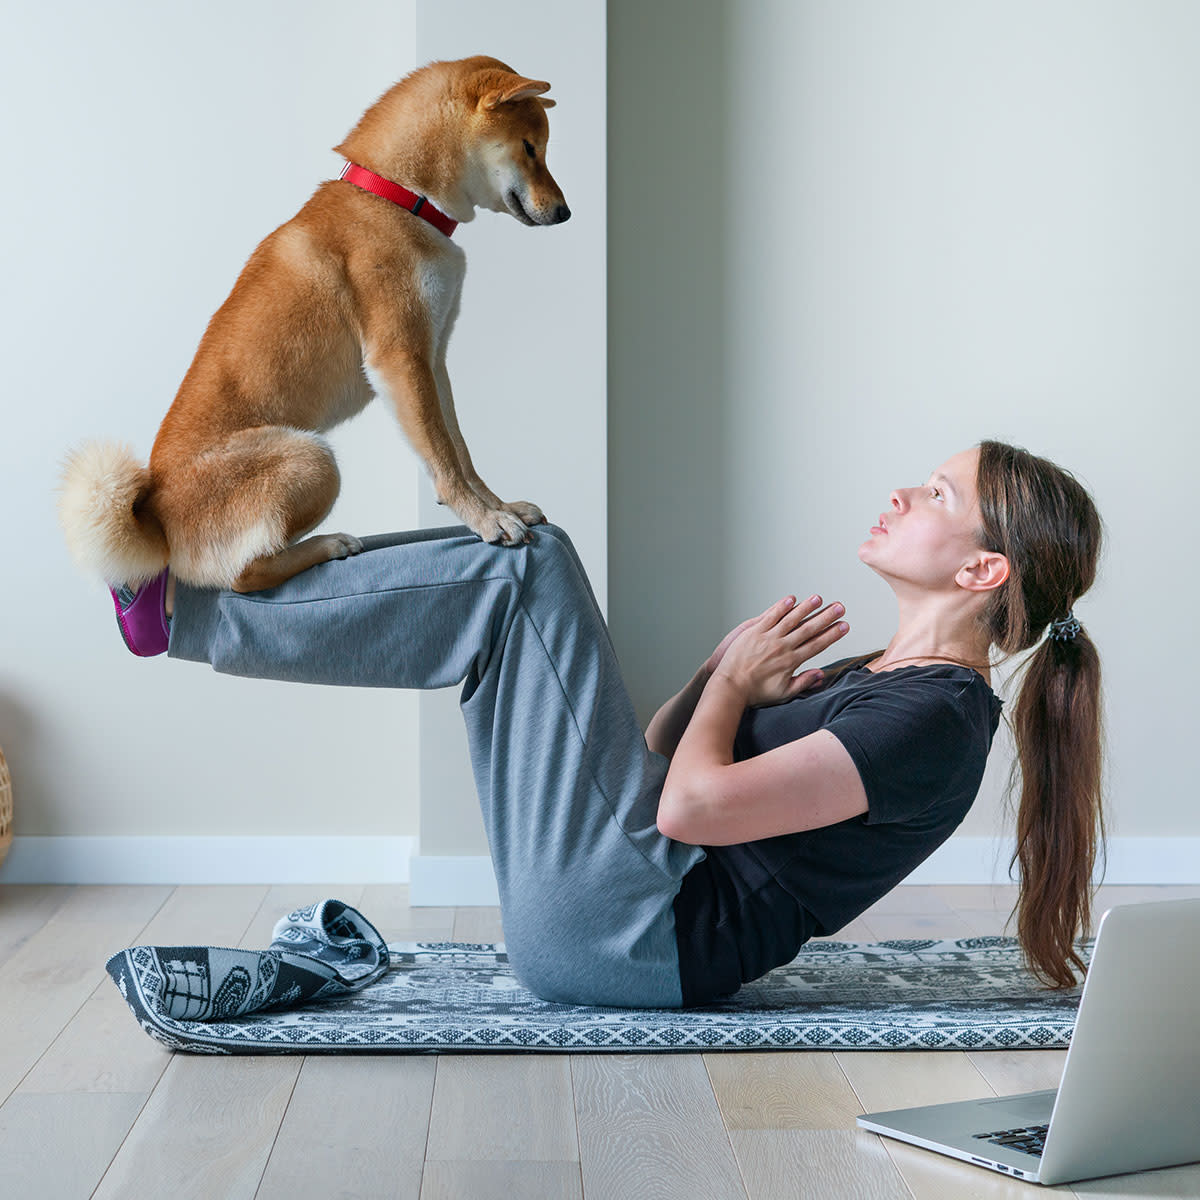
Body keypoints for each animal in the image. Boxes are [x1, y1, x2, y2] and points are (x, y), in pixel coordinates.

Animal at [58, 55, 573, 590]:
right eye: (531, 148)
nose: (565, 212)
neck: (398, 198)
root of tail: (155, 520)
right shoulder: (399, 359)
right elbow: (444, 460)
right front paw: (485, 520)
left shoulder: (432, 359)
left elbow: (460, 451)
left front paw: (499, 505)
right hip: (312, 459)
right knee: (244, 575)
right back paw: (327, 545)